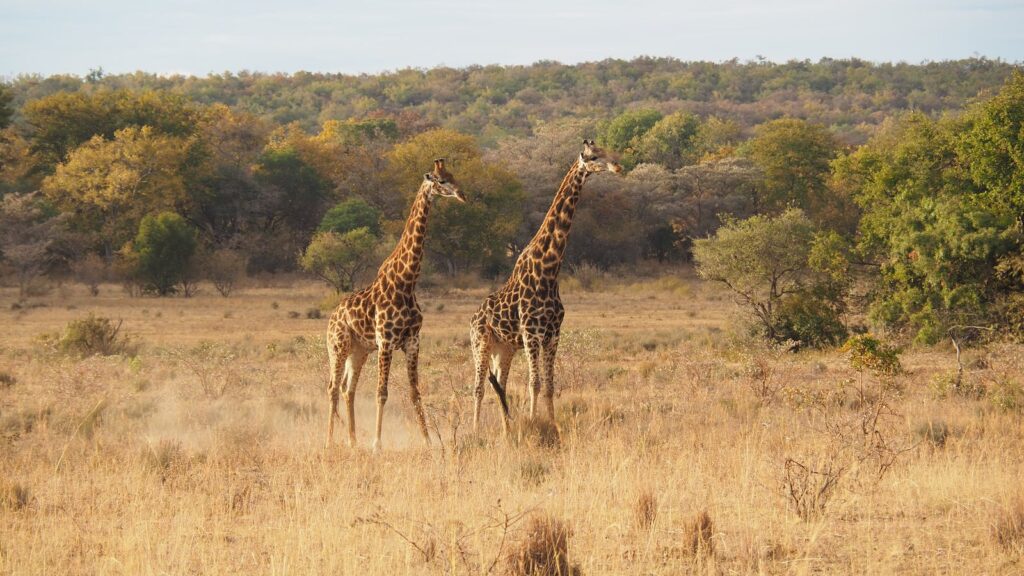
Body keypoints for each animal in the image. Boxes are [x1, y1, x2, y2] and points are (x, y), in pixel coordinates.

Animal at [325, 159, 465, 452]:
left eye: (453, 175)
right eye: (441, 180)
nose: (462, 194)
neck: (406, 282)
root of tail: (332, 317)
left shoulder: (412, 341)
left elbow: (415, 393)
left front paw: (428, 441)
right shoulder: (386, 341)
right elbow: (382, 392)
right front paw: (377, 444)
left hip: (359, 351)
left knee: (348, 388)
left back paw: (353, 441)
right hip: (338, 346)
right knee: (332, 387)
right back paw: (330, 441)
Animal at [470, 140, 622, 433]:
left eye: (608, 150)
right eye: (593, 156)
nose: (618, 166)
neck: (549, 270)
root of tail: (472, 319)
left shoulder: (553, 334)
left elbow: (550, 385)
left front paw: (553, 424)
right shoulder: (532, 333)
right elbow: (535, 383)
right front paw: (533, 423)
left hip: (504, 349)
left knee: (499, 383)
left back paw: (507, 429)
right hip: (481, 343)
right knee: (479, 387)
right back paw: (475, 430)